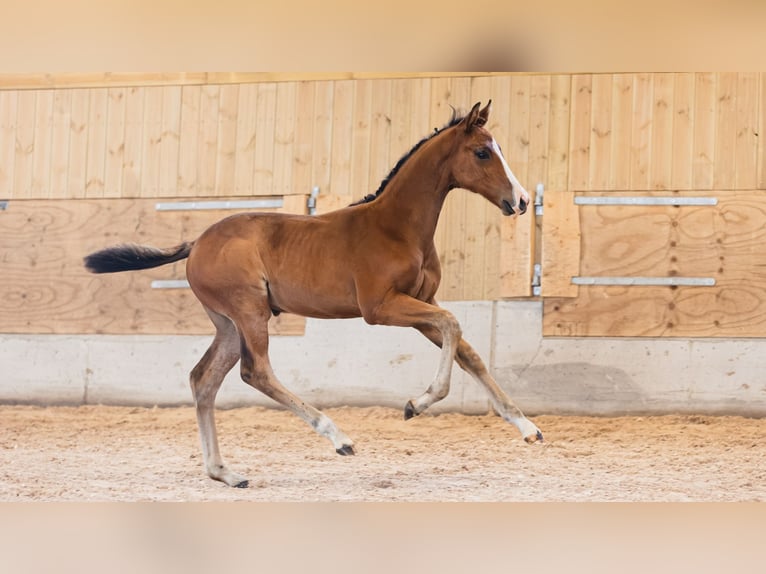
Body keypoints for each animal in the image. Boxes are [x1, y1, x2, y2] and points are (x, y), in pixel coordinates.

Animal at [84, 100, 544, 488]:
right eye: (482, 153)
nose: (521, 200)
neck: (397, 228)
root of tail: (196, 243)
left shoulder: (422, 304)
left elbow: (467, 351)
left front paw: (528, 428)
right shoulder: (381, 307)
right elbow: (453, 326)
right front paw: (418, 403)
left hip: (228, 324)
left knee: (203, 379)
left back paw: (224, 473)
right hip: (249, 312)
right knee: (255, 372)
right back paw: (337, 436)